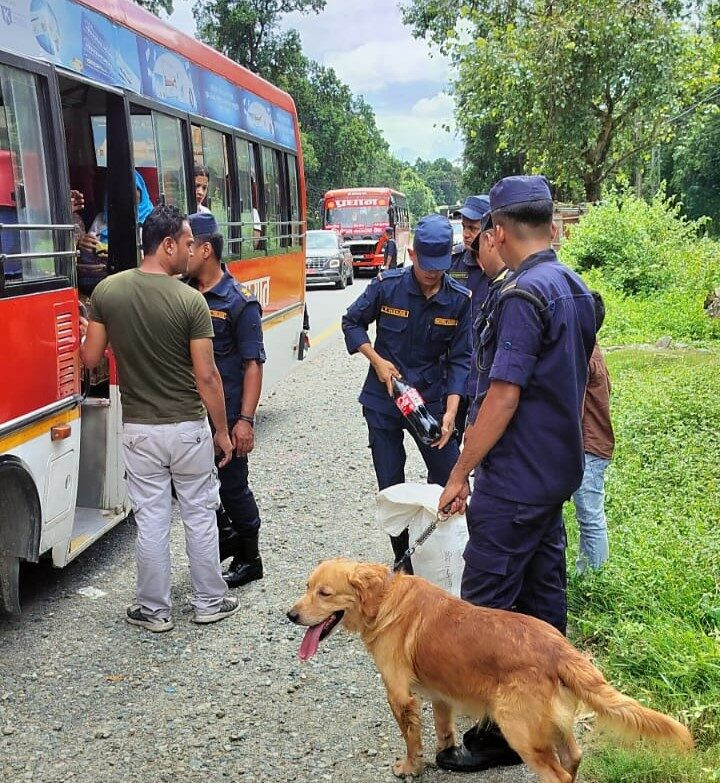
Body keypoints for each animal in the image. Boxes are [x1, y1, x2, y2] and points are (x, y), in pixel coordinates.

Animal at [286, 560, 692, 780]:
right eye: (306, 587)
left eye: (324, 593)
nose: (290, 615)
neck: (384, 599)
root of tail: (559, 647)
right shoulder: (441, 694)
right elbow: (444, 731)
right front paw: (446, 756)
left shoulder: (400, 696)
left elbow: (412, 741)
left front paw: (411, 768)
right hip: (551, 722)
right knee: (573, 758)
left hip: (518, 728)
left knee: (558, 773)